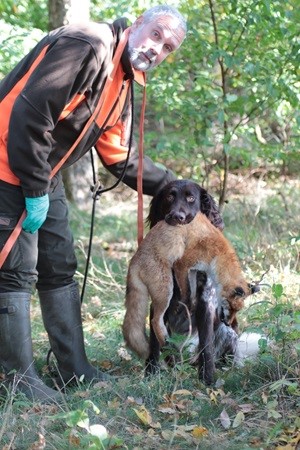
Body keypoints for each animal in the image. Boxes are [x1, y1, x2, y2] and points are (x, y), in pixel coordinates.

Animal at [122, 209, 255, 360]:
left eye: (237, 310)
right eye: (231, 307)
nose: (228, 323)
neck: (218, 254)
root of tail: (133, 261)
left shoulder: (193, 270)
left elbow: (191, 292)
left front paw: (191, 306)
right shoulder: (182, 264)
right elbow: (185, 292)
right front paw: (185, 306)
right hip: (166, 288)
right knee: (156, 320)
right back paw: (167, 346)